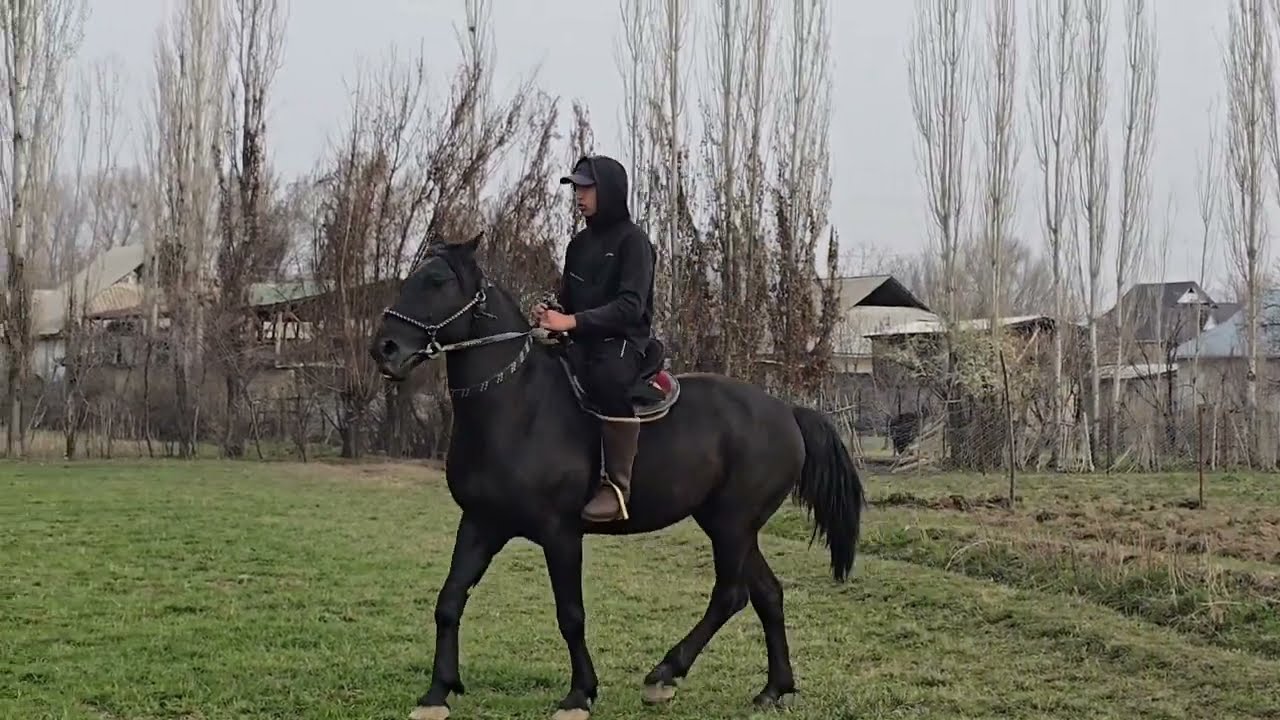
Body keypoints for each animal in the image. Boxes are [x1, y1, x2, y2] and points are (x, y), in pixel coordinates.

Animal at [369, 234, 865, 720]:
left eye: (436, 281)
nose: (384, 350)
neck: (518, 407)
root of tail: (787, 411)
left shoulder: (561, 533)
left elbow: (570, 614)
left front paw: (579, 695)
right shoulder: (480, 524)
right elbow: (449, 600)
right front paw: (437, 692)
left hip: (732, 524)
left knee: (731, 594)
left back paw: (665, 674)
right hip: (731, 526)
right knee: (767, 594)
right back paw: (773, 689)